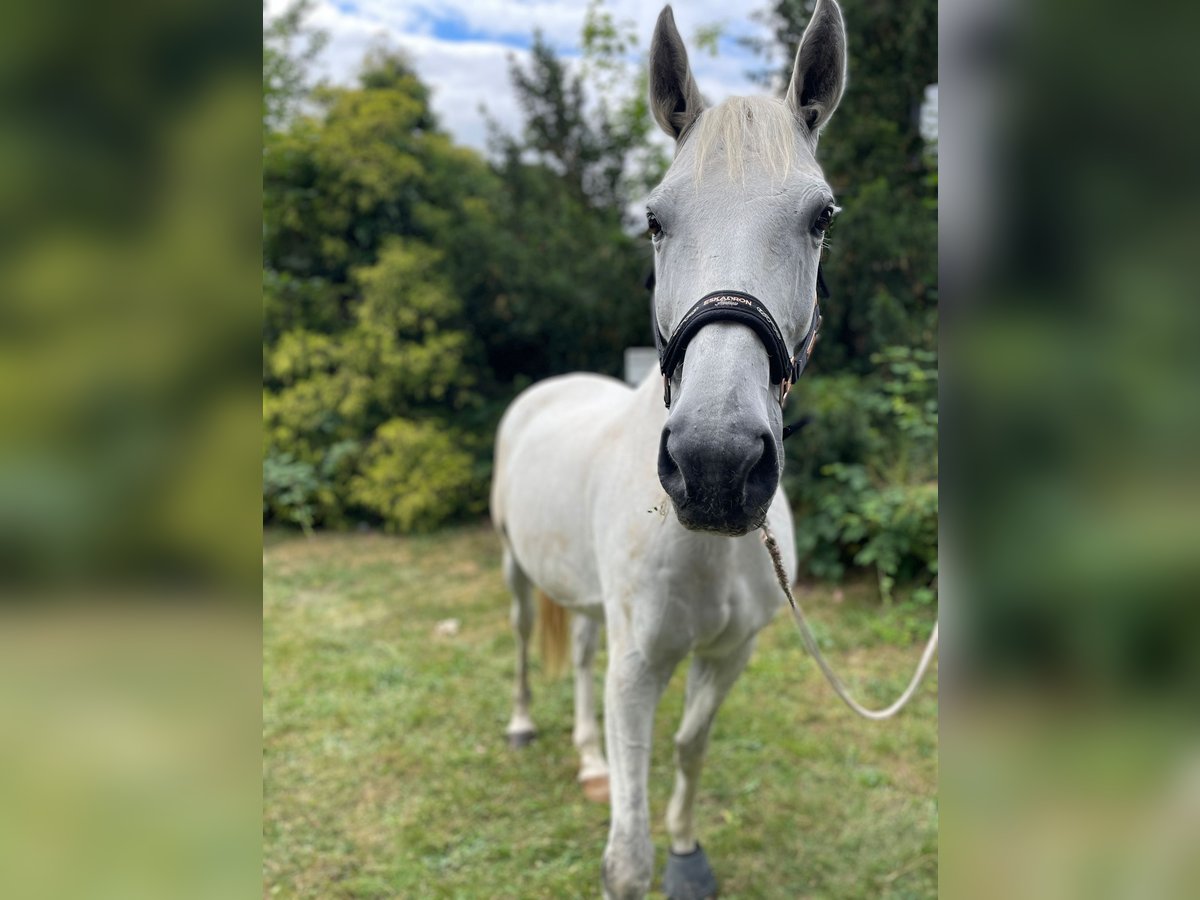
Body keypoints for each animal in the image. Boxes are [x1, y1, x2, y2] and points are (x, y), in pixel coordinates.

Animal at [487, 5, 844, 897]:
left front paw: (687, 851)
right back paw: (523, 726)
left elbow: (688, 748)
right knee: (523, 639)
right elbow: (626, 853)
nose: (717, 467)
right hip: (514, 567)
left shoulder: (729, 655)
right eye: (653, 218)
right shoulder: (639, 668)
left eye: (821, 216)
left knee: (580, 654)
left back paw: (587, 759)